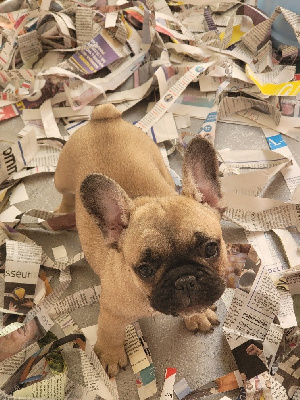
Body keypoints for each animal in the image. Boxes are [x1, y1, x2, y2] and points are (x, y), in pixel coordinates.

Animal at [54, 104, 227, 378]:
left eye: (211, 249)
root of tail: (103, 117)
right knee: (66, 196)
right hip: (61, 178)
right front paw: (110, 356)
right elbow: (109, 332)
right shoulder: (112, 310)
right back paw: (61, 212)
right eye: (145, 270)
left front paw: (198, 316)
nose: (185, 280)